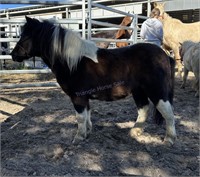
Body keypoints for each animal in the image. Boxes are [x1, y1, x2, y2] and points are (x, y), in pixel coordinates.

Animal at [10, 16, 177, 145]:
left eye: (25, 36)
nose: (13, 55)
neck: (73, 61)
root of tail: (164, 55)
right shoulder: (84, 97)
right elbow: (87, 115)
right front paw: (87, 133)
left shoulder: (78, 97)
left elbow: (80, 117)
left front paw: (79, 137)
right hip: (139, 91)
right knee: (143, 110)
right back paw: (135, 132)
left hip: (156, 91)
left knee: (168, 113)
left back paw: (169, 140)